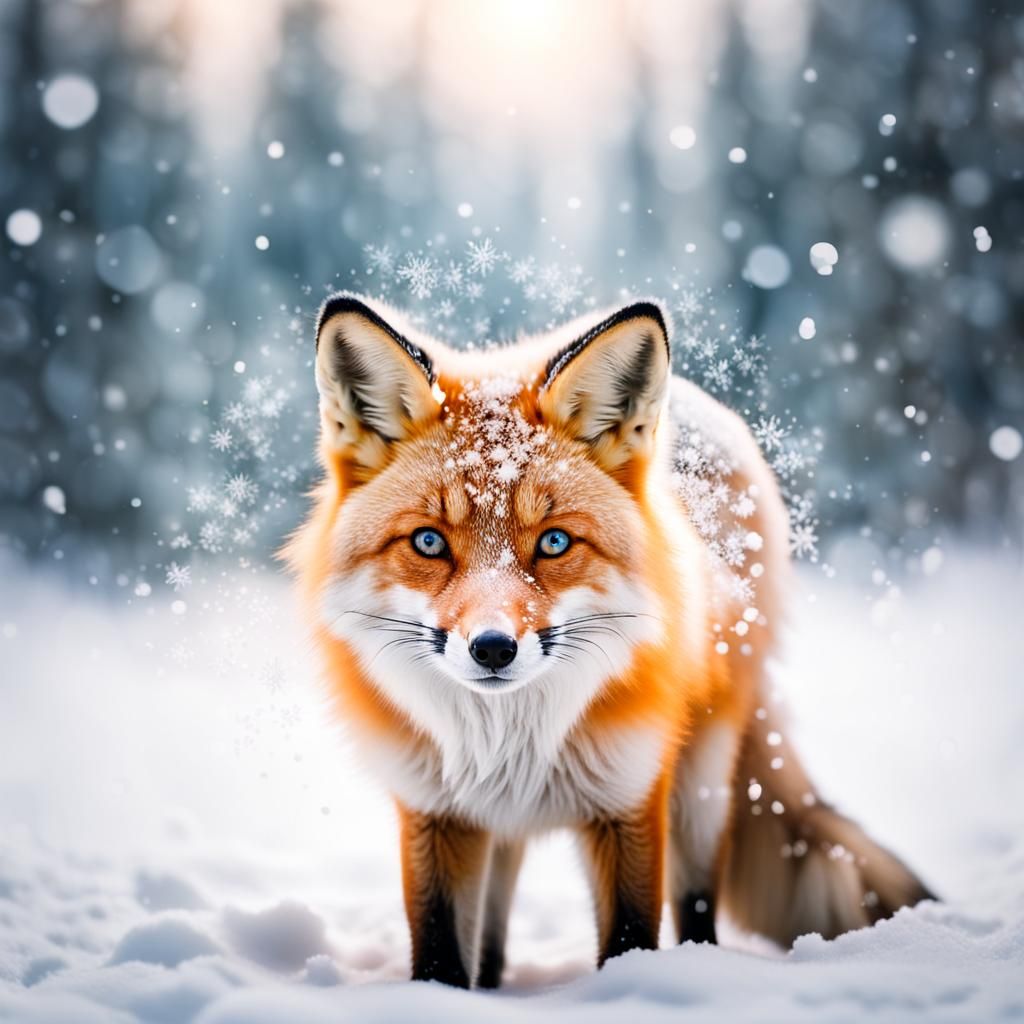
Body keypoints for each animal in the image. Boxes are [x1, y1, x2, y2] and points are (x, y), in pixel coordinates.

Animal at [285, 293, 933, 988]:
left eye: (554, 542)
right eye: (429, 541)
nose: (493, 648)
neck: (511, 745)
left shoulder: (629, 802)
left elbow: (630, 937)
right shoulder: (435, 811)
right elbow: (440, 954)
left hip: (701, 787)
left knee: (696, 906)